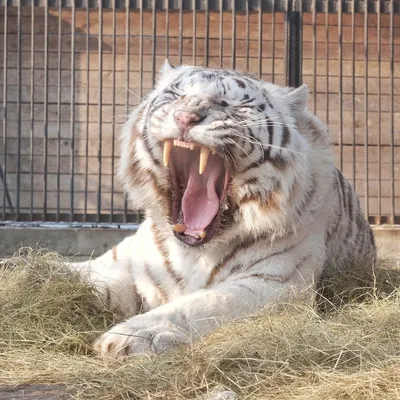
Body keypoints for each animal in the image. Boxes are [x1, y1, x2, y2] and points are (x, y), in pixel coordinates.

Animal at [71, 61, 376, 356]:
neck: (193, 252)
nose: (185, 117)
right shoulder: (130, 267)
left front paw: (133, 335)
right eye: (177, 95)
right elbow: (88, 278)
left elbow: (205, 303)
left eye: (231, 104)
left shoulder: (279, 282)